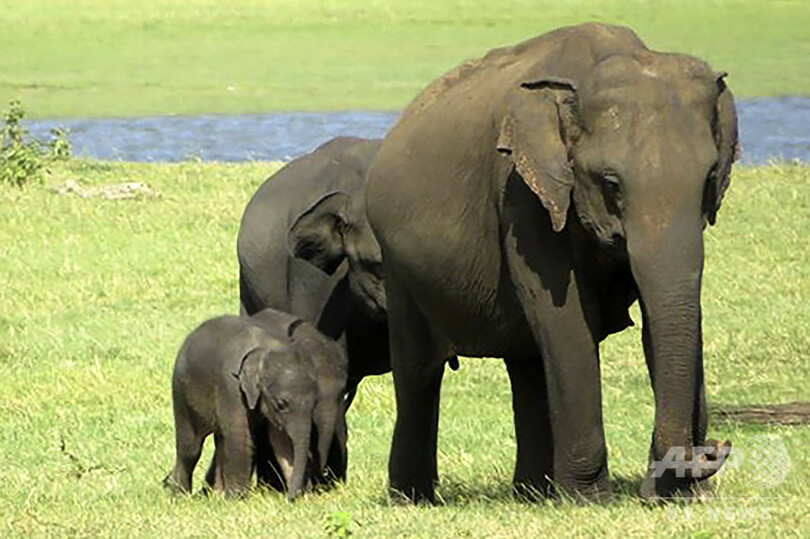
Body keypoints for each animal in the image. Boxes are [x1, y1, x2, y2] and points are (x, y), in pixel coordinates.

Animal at [163, 314, 346, 500]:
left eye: (315, 403)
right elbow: (241, 435)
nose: (290, 497)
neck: (265, 349)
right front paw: (236, 499)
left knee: (220, 441)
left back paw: (214, 495)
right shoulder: (231, 386)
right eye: (281, 404)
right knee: (191, 447)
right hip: (181, 391)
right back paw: (179, 495)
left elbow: (282, 440)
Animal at [366, 24, 740, 506]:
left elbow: (667, 313)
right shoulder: (522, 195)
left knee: (526, 361)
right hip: (399, 270)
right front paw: (589, 500)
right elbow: (566, 320)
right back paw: (414, 499)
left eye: (710, 177)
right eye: (611, 182)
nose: (712, 449)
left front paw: (679, 497)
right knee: (418, 371)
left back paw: (533, 493)